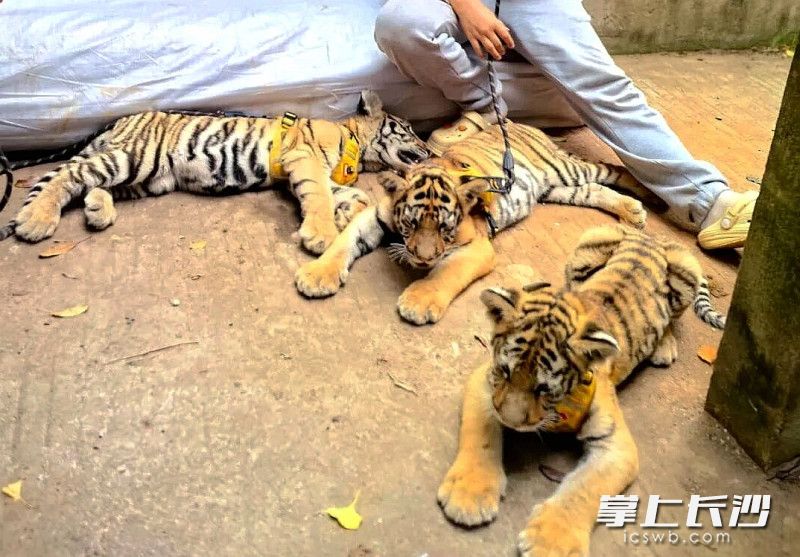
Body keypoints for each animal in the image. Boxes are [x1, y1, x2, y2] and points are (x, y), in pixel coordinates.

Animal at [0, 91, 428, 254]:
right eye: (408, 129)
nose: (429, 150)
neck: (356, 142)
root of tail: (118, 120)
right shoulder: (303, 158)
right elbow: (320, 195)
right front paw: (322, 234)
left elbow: (352, 196)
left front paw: (348, 212)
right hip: (135, 157)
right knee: (67, 173)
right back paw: (34, 220)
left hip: (150, 178)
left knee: (90, 182)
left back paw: (97, 211)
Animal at [294, 120, 648, 324]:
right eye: (411, 224)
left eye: (444, 228)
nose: (423, 258)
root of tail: (521, 123)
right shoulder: (375, 216)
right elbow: (344, 242)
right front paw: (317, 275)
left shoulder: (477, 247)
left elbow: (446, 273)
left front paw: (418, 302)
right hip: (558, 188)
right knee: (595, 189)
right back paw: (632, 210)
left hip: (565, 170)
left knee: (612, 170)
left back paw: (644, 194)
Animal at [437, 224, 726, 557]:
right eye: (506, 371)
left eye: (544, 388)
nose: (509, 421)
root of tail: (649, 235)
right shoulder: (485, 383)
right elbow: (482, 435)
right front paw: (468, 495)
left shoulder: (616, 446)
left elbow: (585, 490)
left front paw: (550, 543)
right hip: (589, 244)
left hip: (685, 270)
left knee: (671, 320)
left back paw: (664, 346)